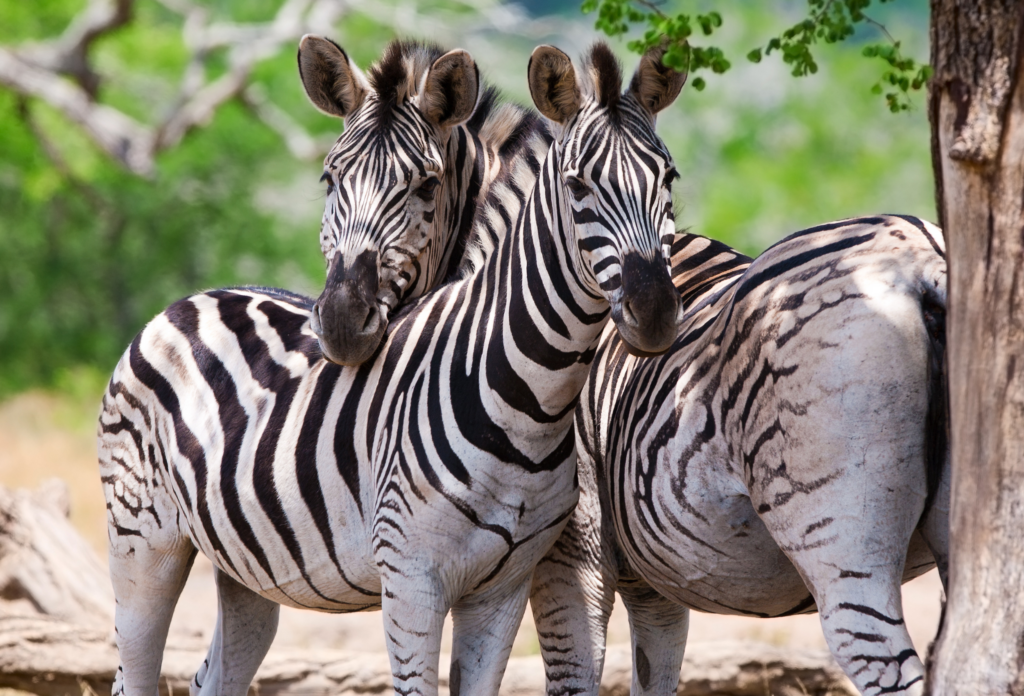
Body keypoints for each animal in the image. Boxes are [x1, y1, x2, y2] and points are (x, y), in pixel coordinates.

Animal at [98, 41, 685, 696]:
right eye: (578, 184)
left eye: (668, 178)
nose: (655, 312)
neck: (526, 400)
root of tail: (189, 300)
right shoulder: (411, 580)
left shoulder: (504, 588)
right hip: (142, 541)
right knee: (133, 667)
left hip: (247, 566)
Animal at [529, 215, 949, 696]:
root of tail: (921, 259)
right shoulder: (653, 580)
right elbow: (654, 671)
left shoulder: (571, 553)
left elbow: (571, 675)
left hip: (841, 545)